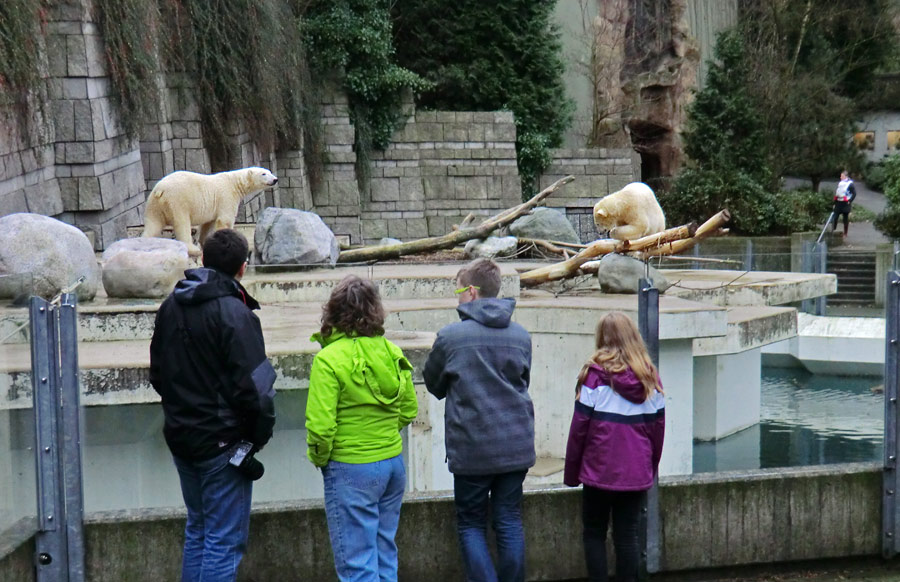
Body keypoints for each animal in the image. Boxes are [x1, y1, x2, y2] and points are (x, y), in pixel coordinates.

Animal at [142, 164, 278, 256]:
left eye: (270, 171)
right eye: (263, 174)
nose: (275, 179)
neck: (235, 183)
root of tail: (160, 190)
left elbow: (207, 224)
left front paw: (205, 242)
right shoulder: (227, 196)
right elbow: (225, 220)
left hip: (154, 204)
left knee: (153, 224)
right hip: (177, 201)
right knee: (182, 223)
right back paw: (192, 249)